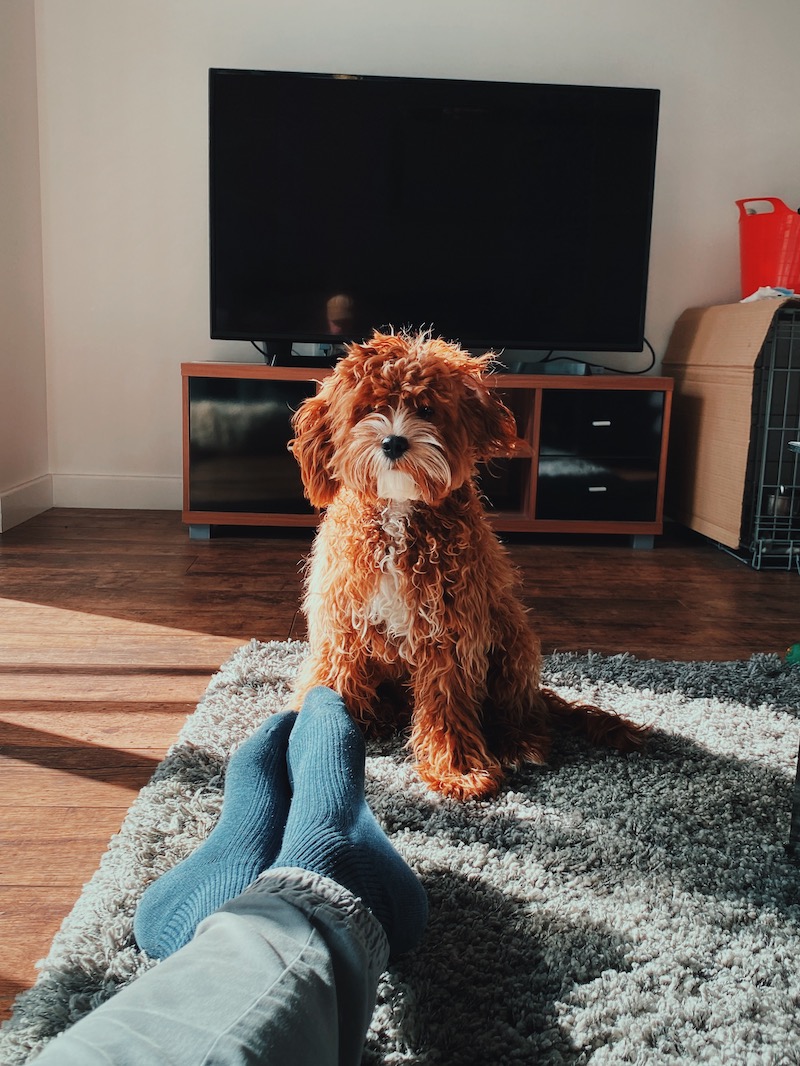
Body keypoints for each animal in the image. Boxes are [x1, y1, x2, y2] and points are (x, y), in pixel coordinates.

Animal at [292, 328, 648, 797]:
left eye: (426, 409)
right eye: (368, 409)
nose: (393, 442)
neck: (398, 509)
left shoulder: (451, 631)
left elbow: (447, 703)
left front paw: (456, 769)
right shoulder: (344, 625)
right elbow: (331, 681)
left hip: (513, 638)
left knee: (525, 711)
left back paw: (519, 743)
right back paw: (379, 717)